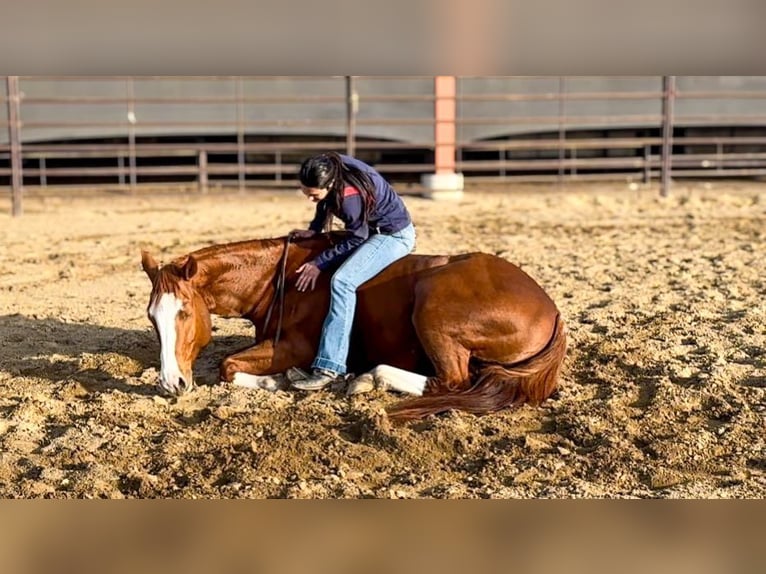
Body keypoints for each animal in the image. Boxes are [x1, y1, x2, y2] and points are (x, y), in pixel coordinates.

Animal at [141, 232, 568, 426]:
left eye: (183, 312)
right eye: (151, 317)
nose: (171, 383)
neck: (282, 279)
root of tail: (551, 310)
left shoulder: (292, 347)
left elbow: (227, 366)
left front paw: (282, 381)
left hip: (432, 305)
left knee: (452, 381)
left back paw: (363, 379)